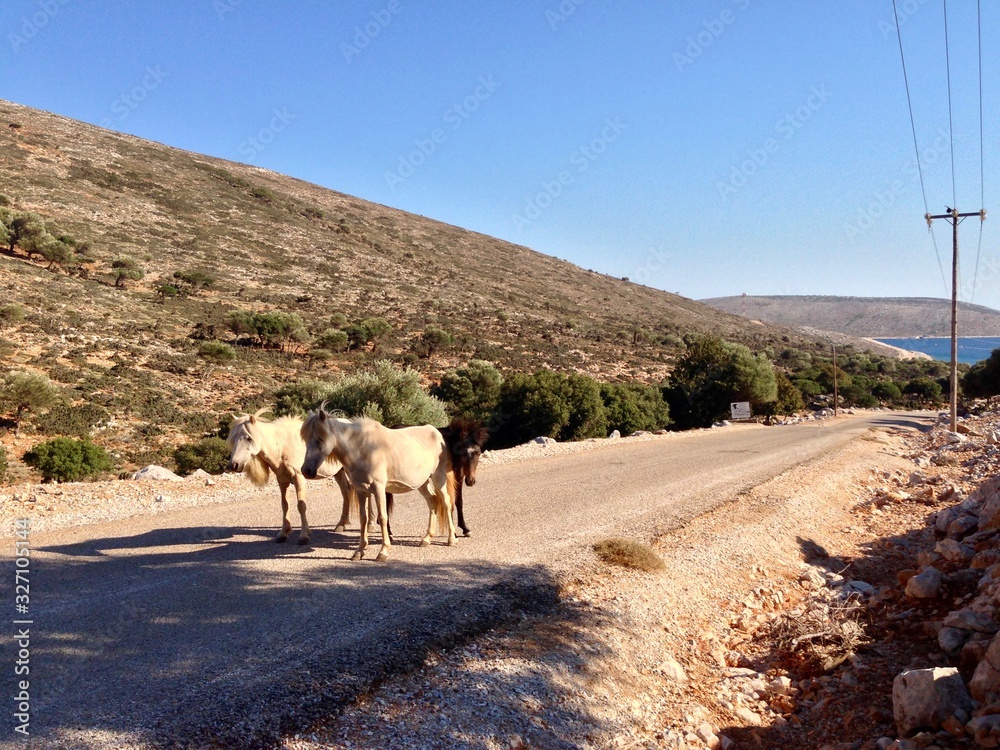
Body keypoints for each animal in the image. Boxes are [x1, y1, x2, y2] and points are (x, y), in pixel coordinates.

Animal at [227, 410, 362, 544]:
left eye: (249, 438)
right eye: (234, 439)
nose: (234, 465)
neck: (282, 446)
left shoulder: (299, 478)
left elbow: (301, 506)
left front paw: (304, 536)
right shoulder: (282, 480)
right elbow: (284, 505)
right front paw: (284, 533)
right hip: (338, 472)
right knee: (346, 492)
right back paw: (341, 524)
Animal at [300, 407, 457, 562]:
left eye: (320, 439)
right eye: (306, 439)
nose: (306, 471)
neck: (362, 448)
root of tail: (436, 432)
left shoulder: (379, 488)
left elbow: (382, 517)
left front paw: (383, 551)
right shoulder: (361, 490)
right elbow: (363, 518)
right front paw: (359, 551)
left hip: (438, 477)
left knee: (446, 502)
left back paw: (451, 539)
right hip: (422, 483)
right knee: (433, 502)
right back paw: (426, 539)